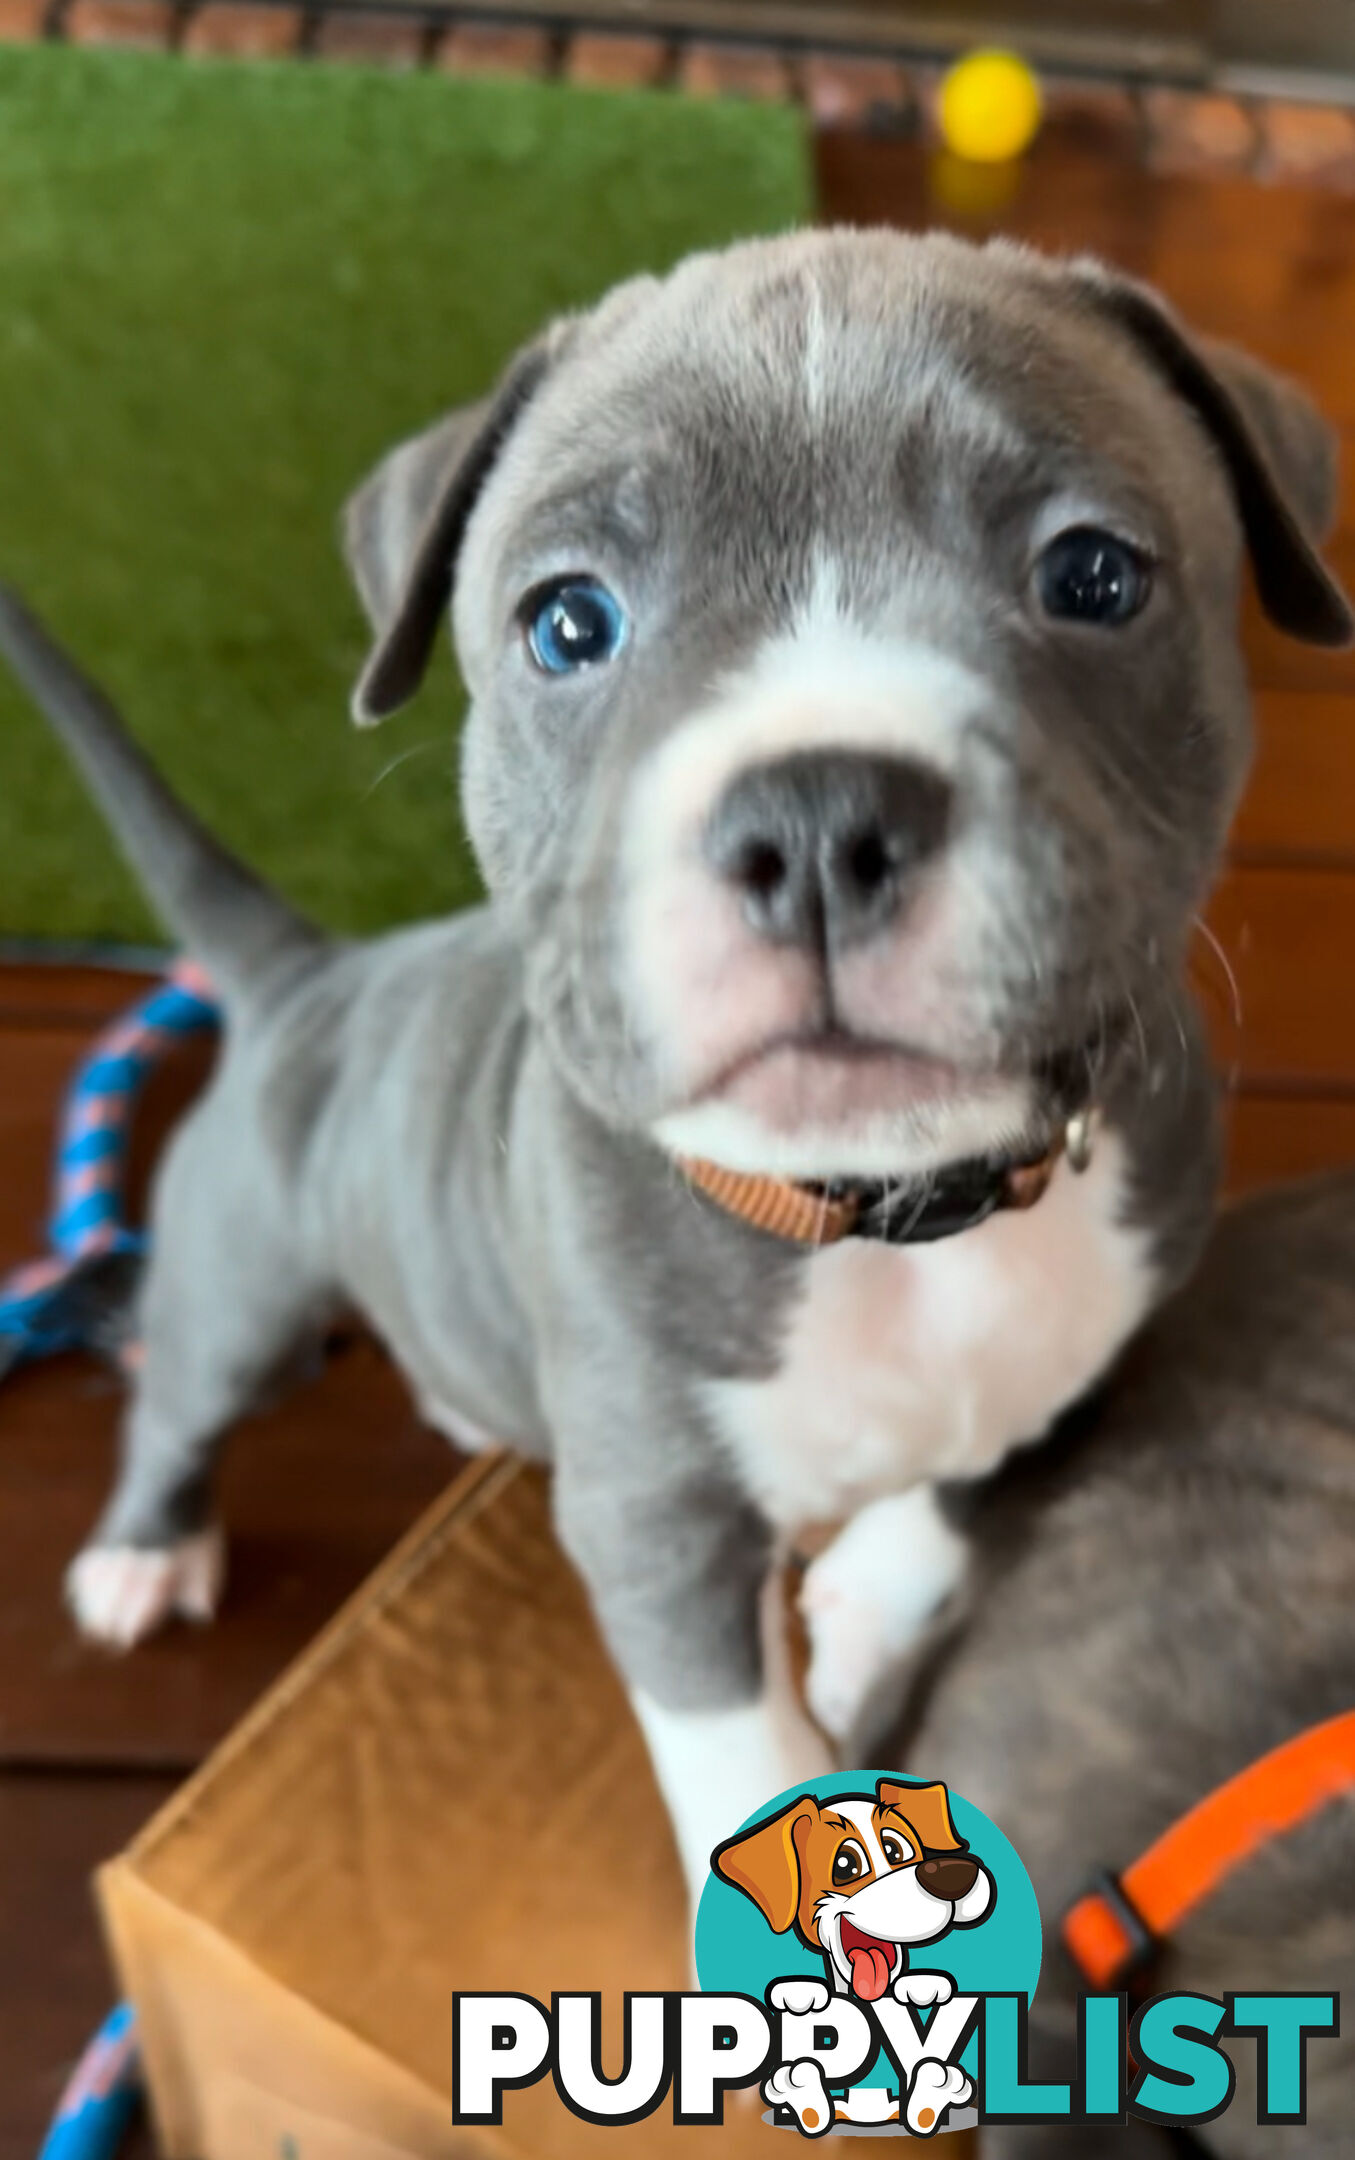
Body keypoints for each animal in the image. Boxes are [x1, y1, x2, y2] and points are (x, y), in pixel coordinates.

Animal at [5, 223, 1348, 1909]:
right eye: (568, 623)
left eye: (1091, 576)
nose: (820, 820)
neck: (893, 1217)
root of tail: (306, 976)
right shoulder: (651, 1524)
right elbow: (739, 1758)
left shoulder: (1085, 1349)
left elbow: (962, 1487)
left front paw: (867, 1604)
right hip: (235, 1276)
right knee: (180, 1396)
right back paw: (143, 1547)